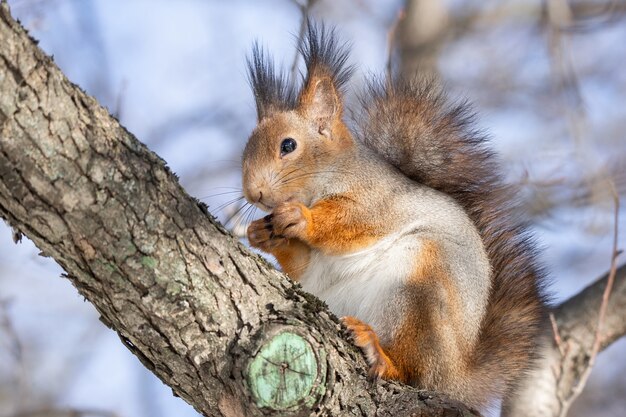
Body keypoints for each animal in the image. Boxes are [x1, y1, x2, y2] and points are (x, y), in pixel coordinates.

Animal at [241, 22, 544, 410]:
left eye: (288, 145)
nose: (253, 193)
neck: (328, 175)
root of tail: (455, 378)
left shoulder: (378, 198)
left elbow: (355, 220)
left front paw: (302, 218)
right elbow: (302, 265)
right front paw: (261, 234)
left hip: (422, 289)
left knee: (413, 369)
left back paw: (380, 353)